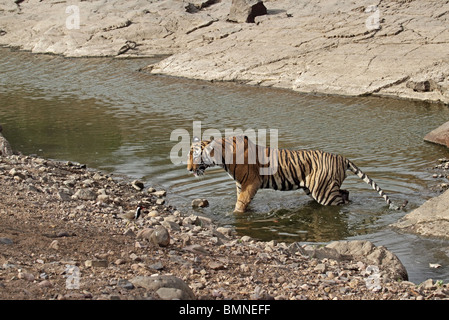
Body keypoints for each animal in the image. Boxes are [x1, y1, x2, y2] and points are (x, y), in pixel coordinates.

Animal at [186, 135, 406, 212]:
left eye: (193, 155)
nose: (188, 169)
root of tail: (341, 157)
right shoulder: (241, 185)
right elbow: (242, 200)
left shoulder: (250, 183)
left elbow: (240, 204)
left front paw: (236, 214)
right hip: (318, 187)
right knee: (346, 193)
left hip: (323, 192)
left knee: (340, 202)